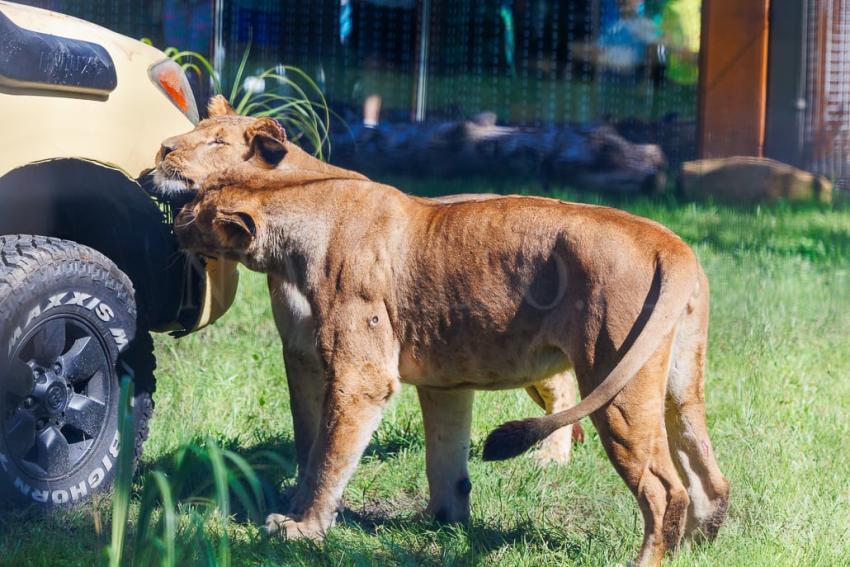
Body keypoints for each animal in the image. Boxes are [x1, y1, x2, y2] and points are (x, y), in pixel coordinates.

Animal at [156, 101, 724, 567]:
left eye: (215, 143)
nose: (161, 149)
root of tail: (670, 243)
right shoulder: (360, 370)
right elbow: (422, 457)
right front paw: (443, 524)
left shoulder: (361, 374)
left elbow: (328, 455)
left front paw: (302, 527)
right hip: (677, 385)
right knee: (707, 475)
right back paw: (700, 545)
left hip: (616, 383)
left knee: (664, 488)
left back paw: (647, 555)